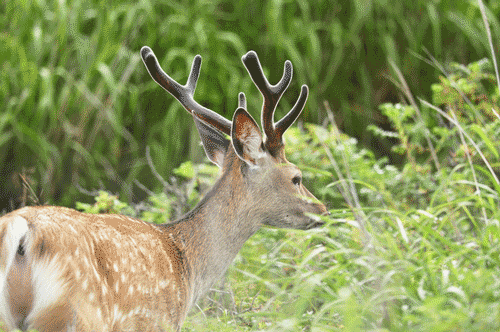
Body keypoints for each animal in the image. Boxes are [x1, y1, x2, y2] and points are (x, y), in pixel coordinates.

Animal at [0, 45, 328, 330]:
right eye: (296, 177)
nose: (323, 209)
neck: (187, 266)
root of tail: (22, 231)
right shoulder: (158, 322)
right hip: (75, 314)